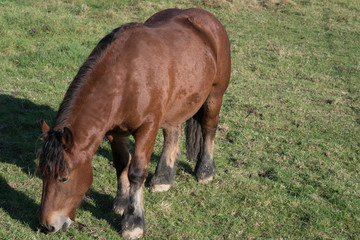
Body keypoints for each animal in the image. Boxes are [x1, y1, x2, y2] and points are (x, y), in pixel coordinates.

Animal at [38, 7, 231, 238]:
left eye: (64, 178)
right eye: (42, 173)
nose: (47, 226)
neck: (125, 78)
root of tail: (207, 17)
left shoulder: (147, 127)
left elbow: (136, 172)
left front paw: (133, 221)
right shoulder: (114, 131)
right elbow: (122, 163)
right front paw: (121, 201)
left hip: (215, 94)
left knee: (209, 127)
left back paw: (205, 170)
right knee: (173, 132)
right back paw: (163, 177)